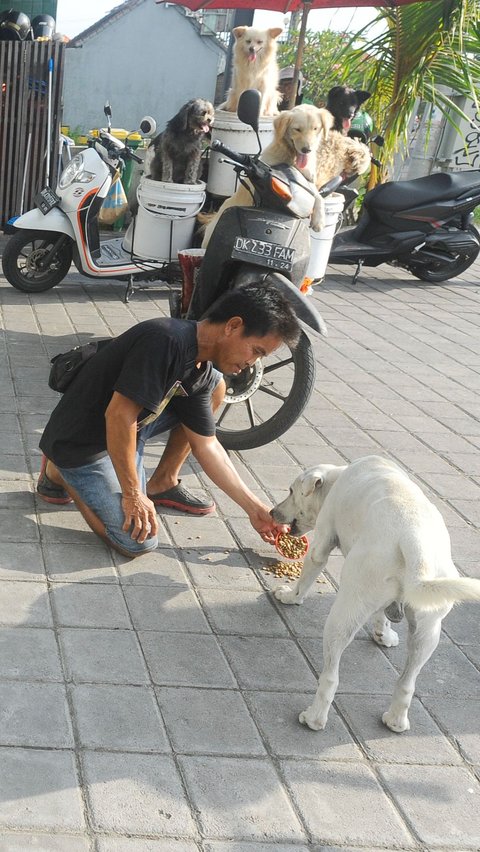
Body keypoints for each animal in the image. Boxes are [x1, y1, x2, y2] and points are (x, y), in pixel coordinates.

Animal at [200, 104, 334, 250]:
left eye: (315, 128)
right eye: (297, 129)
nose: (307, 149)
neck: (291, 157)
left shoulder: (307, 181)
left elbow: (318, 195)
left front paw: (319, 220)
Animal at [270, 452, 480, 732]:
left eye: (292, 491)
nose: (272, 511)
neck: (338, 476)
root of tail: (415, 541)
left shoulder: (322, 541)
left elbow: (308, 574)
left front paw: (290, 597)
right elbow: (382, 612)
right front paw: (384, 634)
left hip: (346, 610)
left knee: (331, 677)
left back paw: (314, 717)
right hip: (428, 630)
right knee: (407, 682)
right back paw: (396, 720)